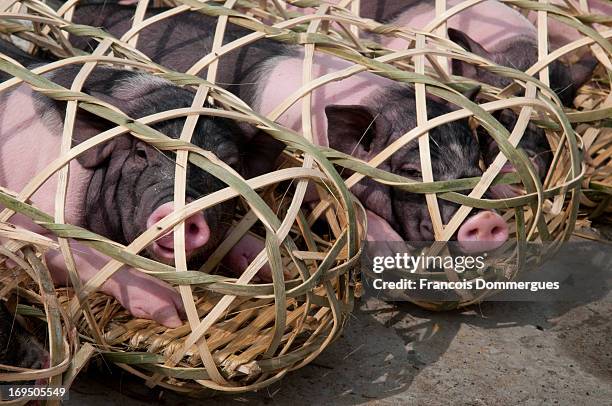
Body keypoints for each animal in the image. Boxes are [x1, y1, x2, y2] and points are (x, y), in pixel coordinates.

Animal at [0, 39, 272, 328]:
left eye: (230, 165)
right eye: (141, 153)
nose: (185, 210)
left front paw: (267, 264)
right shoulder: (24, 226)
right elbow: (81, 254)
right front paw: (173, 310)